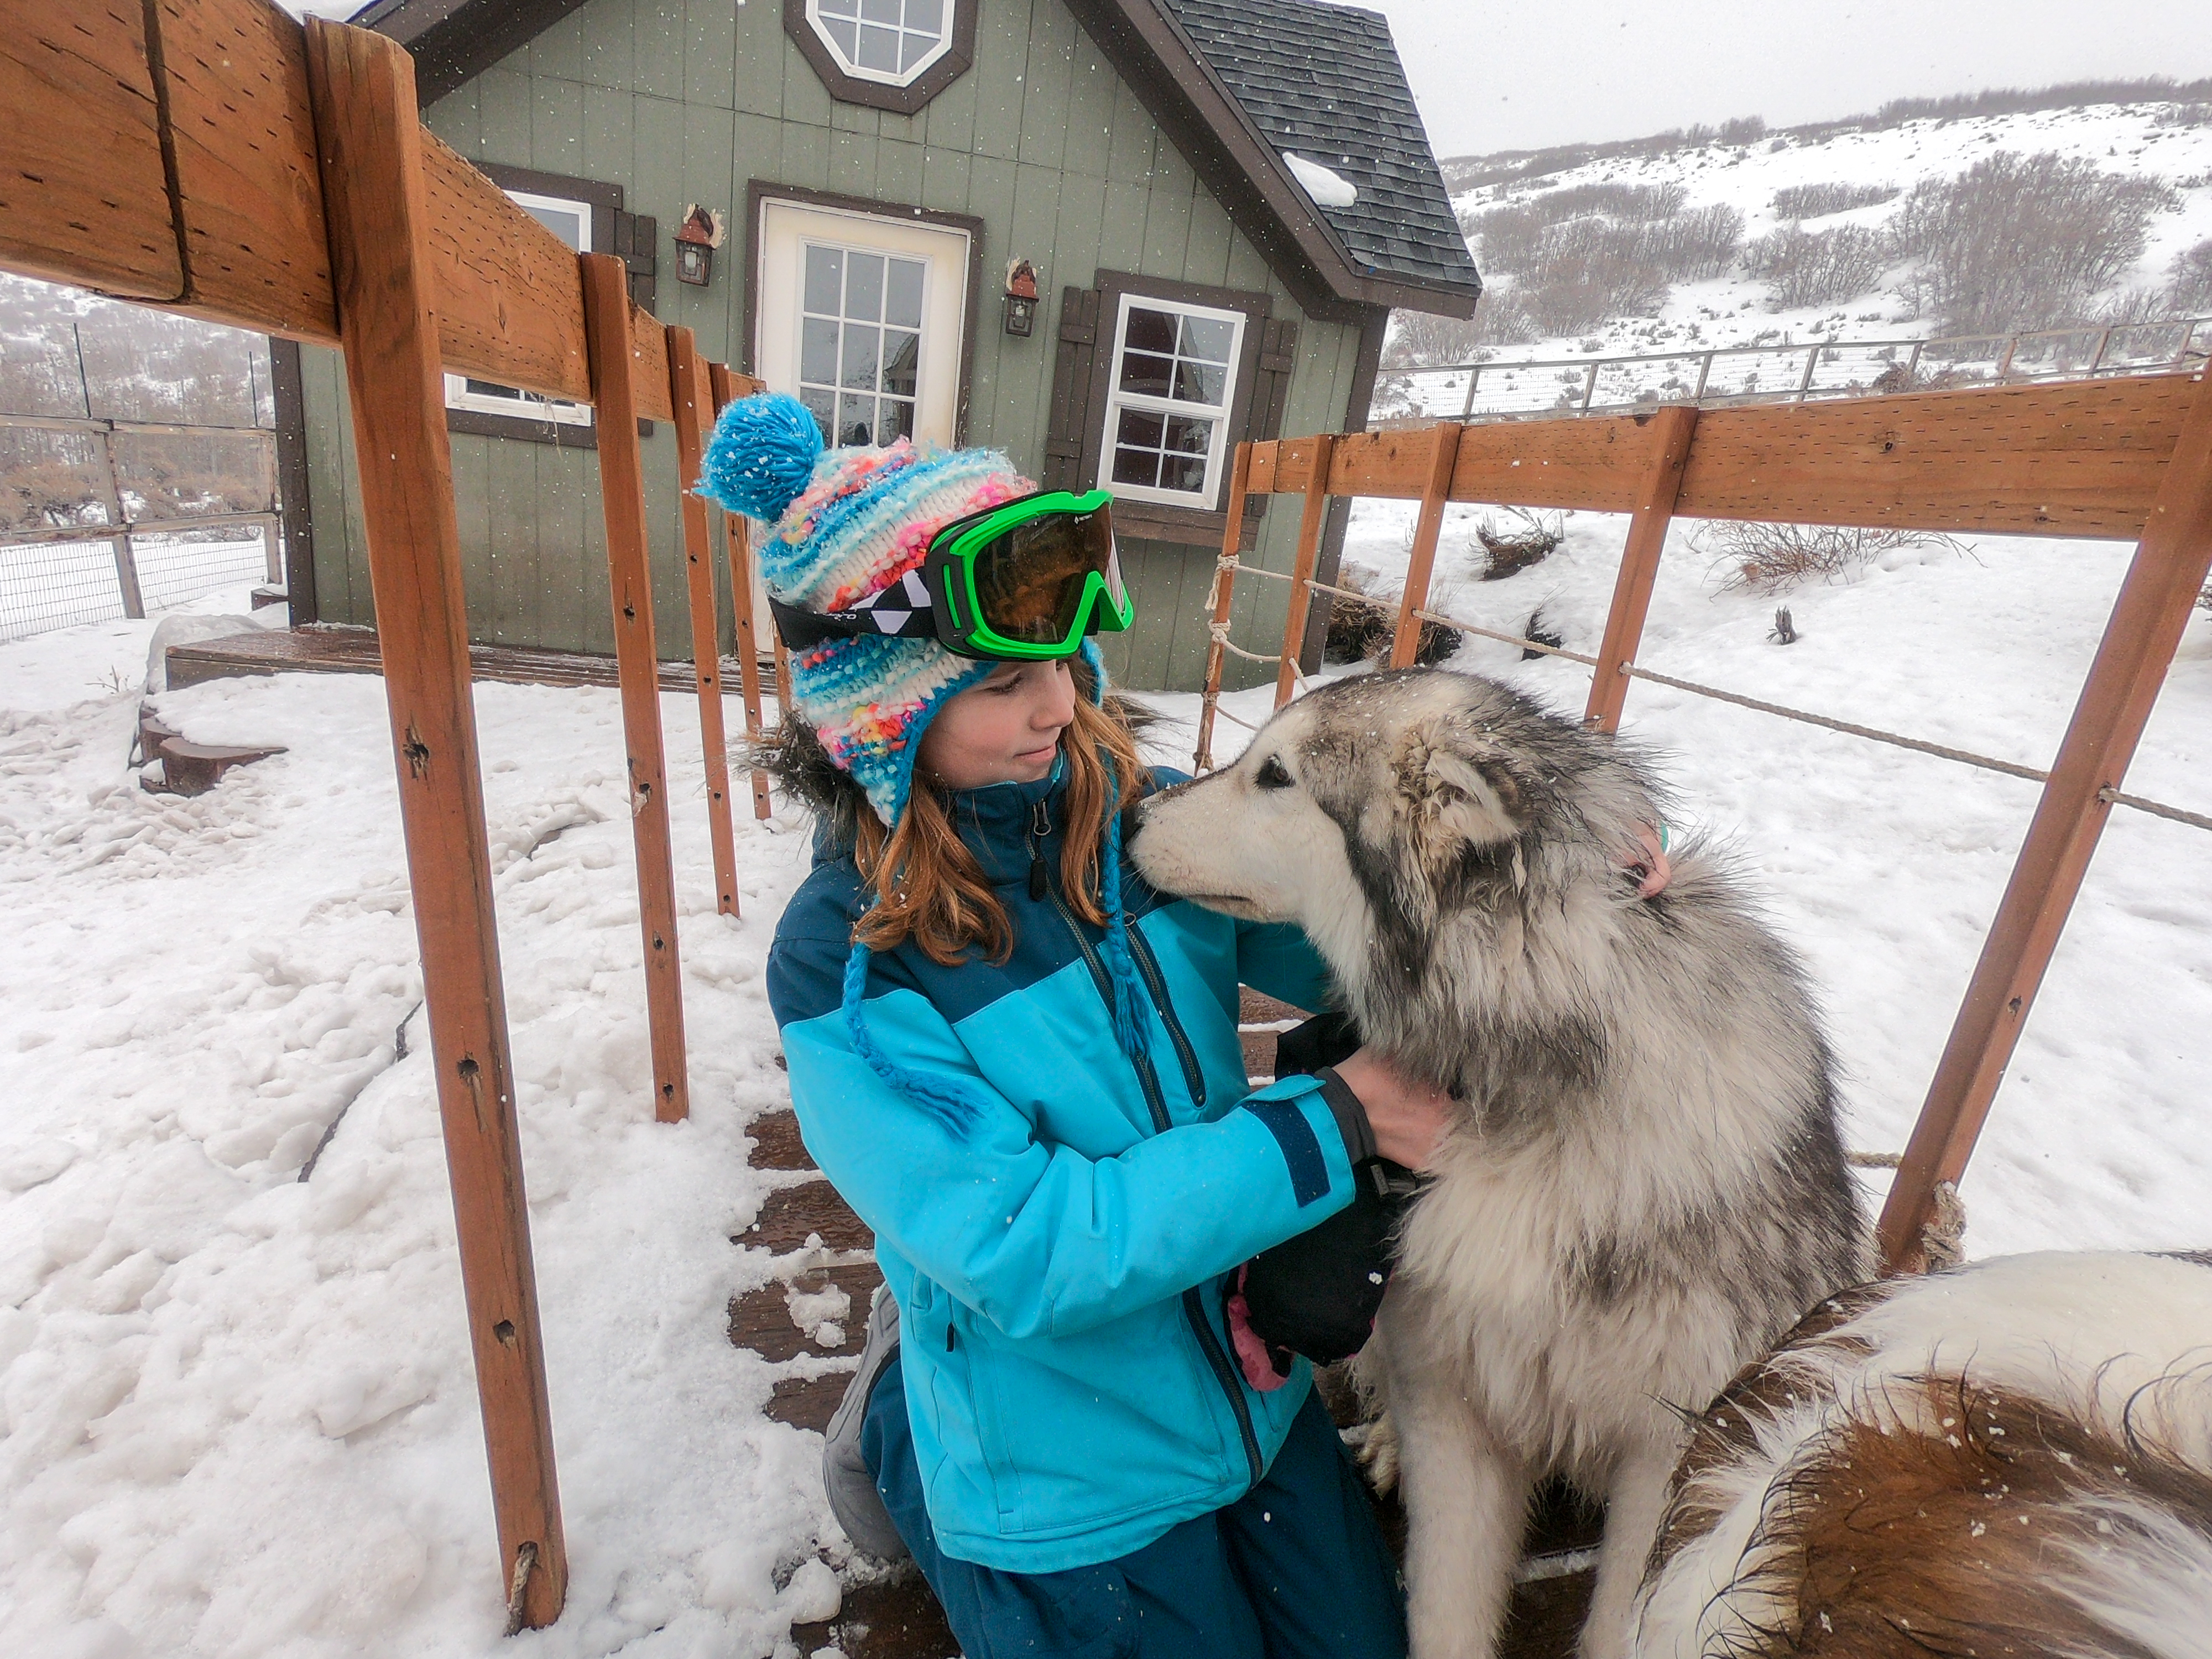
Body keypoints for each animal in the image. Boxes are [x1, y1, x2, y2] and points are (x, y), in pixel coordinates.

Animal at [1133, 672, 1876, 1659]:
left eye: (1276, 775)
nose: (1133, 811)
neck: (1529, 1081)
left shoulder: (1669, 1446)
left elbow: (1620, 1627)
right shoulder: (1454, 1403)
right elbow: (1447, 1608)